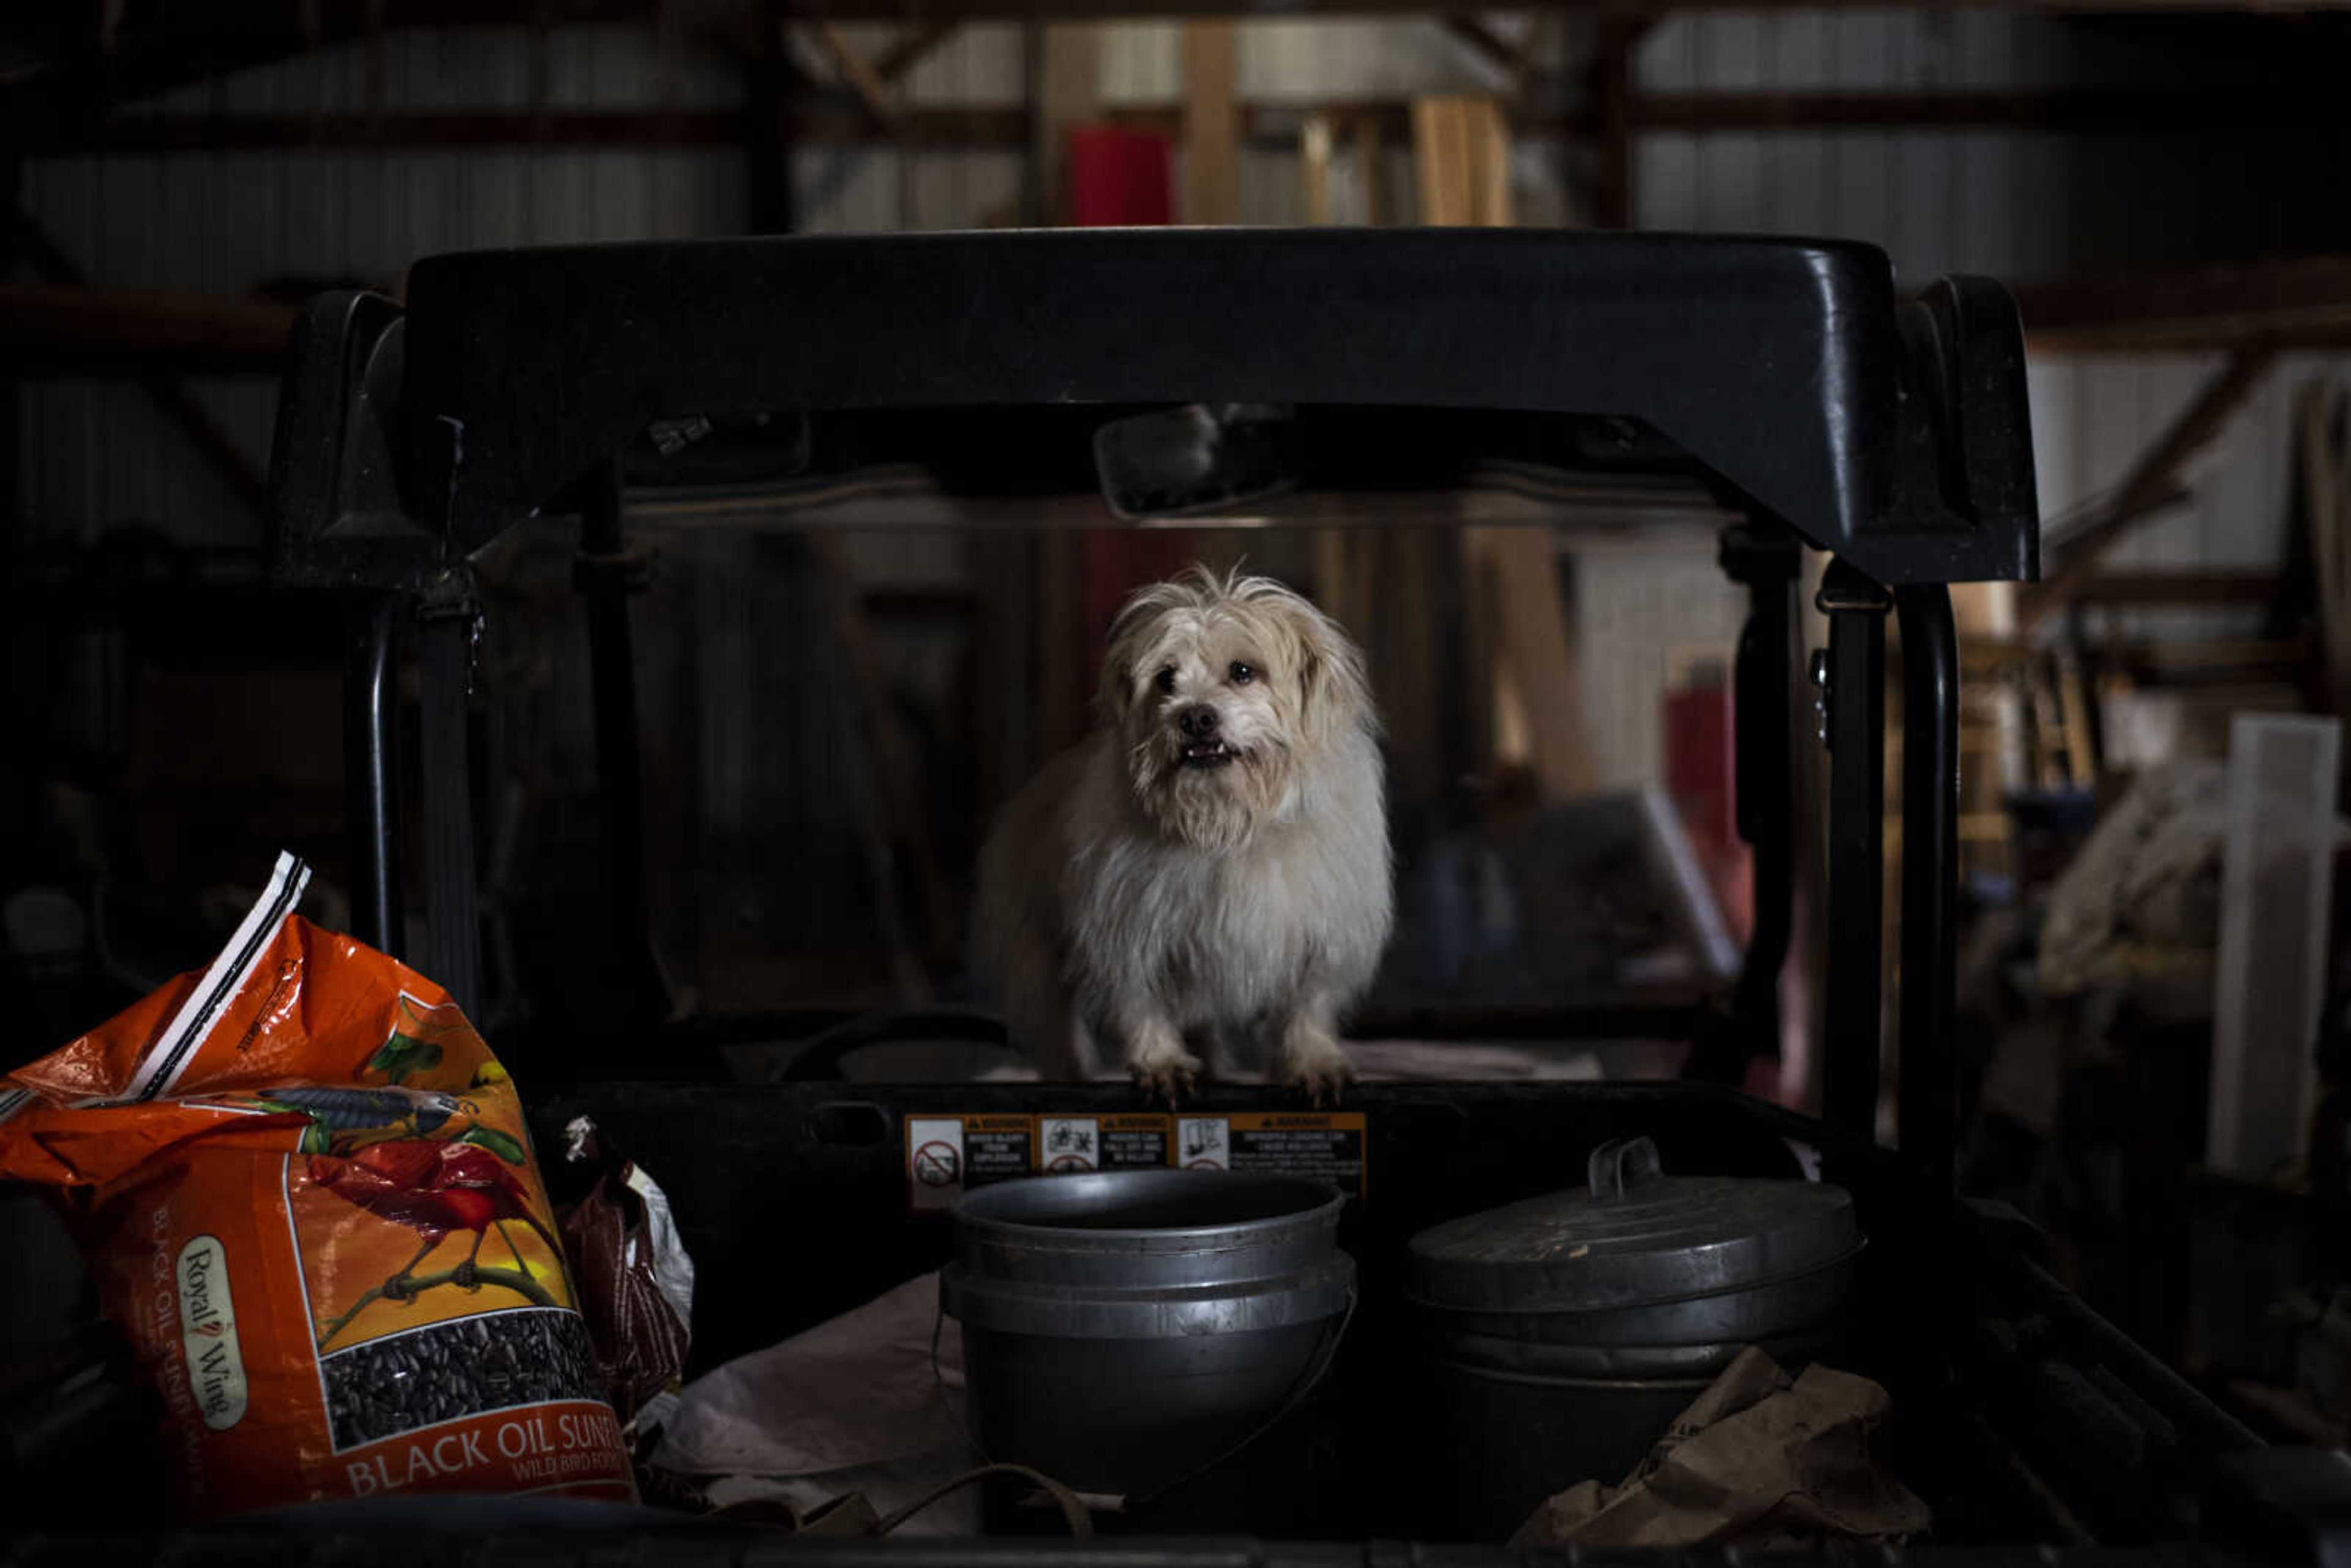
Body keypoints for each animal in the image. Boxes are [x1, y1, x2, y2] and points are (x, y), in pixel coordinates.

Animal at [978, 566, 1392, 1105]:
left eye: (1243, 671)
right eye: (1165, 679)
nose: (1195, 716)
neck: (1230, 825)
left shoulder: (1321, 935)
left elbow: (1306, 1005)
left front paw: (1311, 1060)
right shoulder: (1128, 930)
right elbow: (1141, 1002)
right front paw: (1161, 1062)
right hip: (1038, 960)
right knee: (1059, 1028)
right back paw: (1073, 1075)